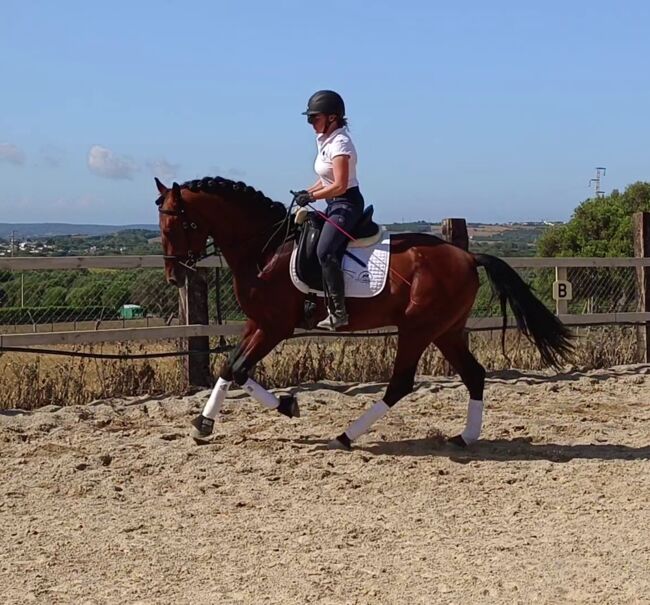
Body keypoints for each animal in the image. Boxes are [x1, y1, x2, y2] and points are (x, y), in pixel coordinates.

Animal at [157, 175, 572, 448]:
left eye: (178, 224)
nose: (174, 274)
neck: (265, 248)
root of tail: (468, 257)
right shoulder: (257, 323)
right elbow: (230, 367)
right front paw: (204, 423)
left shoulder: (276, 327)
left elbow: (240, 369)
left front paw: (288, 406)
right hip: (447, 330)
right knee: (474, 375)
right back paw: (465, 437)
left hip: (418, 329)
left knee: (401, 384)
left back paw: (346, 435)